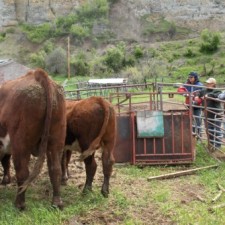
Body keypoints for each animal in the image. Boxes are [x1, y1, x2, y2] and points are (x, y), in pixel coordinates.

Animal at [0, 68, 66, 209]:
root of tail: (37, 74)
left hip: (20, 143)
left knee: (23, 171)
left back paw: (19, 204)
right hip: (56, 140)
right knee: (55, 169)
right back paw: (57, 202)